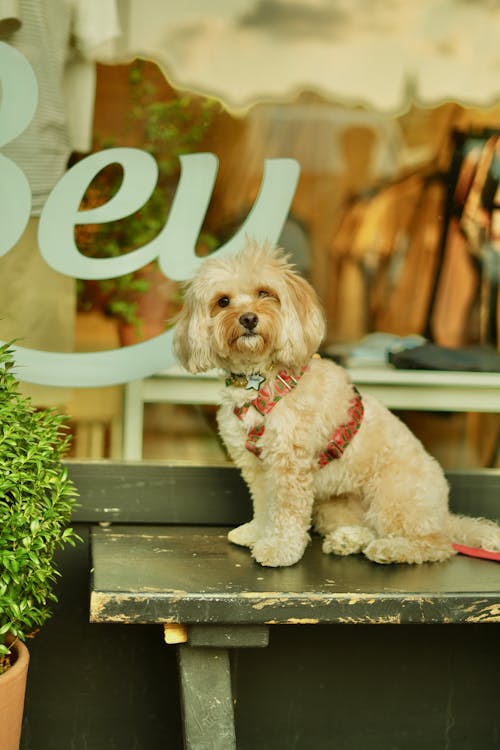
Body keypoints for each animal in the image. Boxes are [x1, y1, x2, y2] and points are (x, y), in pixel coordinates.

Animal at [173, 244, 500, 568]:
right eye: (223, 301)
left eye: (265, 293)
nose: (248, 319)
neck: (260, 381)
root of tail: (443, 515)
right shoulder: (256, 465)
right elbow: (265, 504)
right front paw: (257, 532)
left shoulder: (289, 465)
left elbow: (285, 511)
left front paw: (280, 548)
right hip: (332, 506)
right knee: (367, 527)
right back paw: (348, 539)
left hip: (392, 499)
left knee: (437, 545)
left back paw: (391, 549)